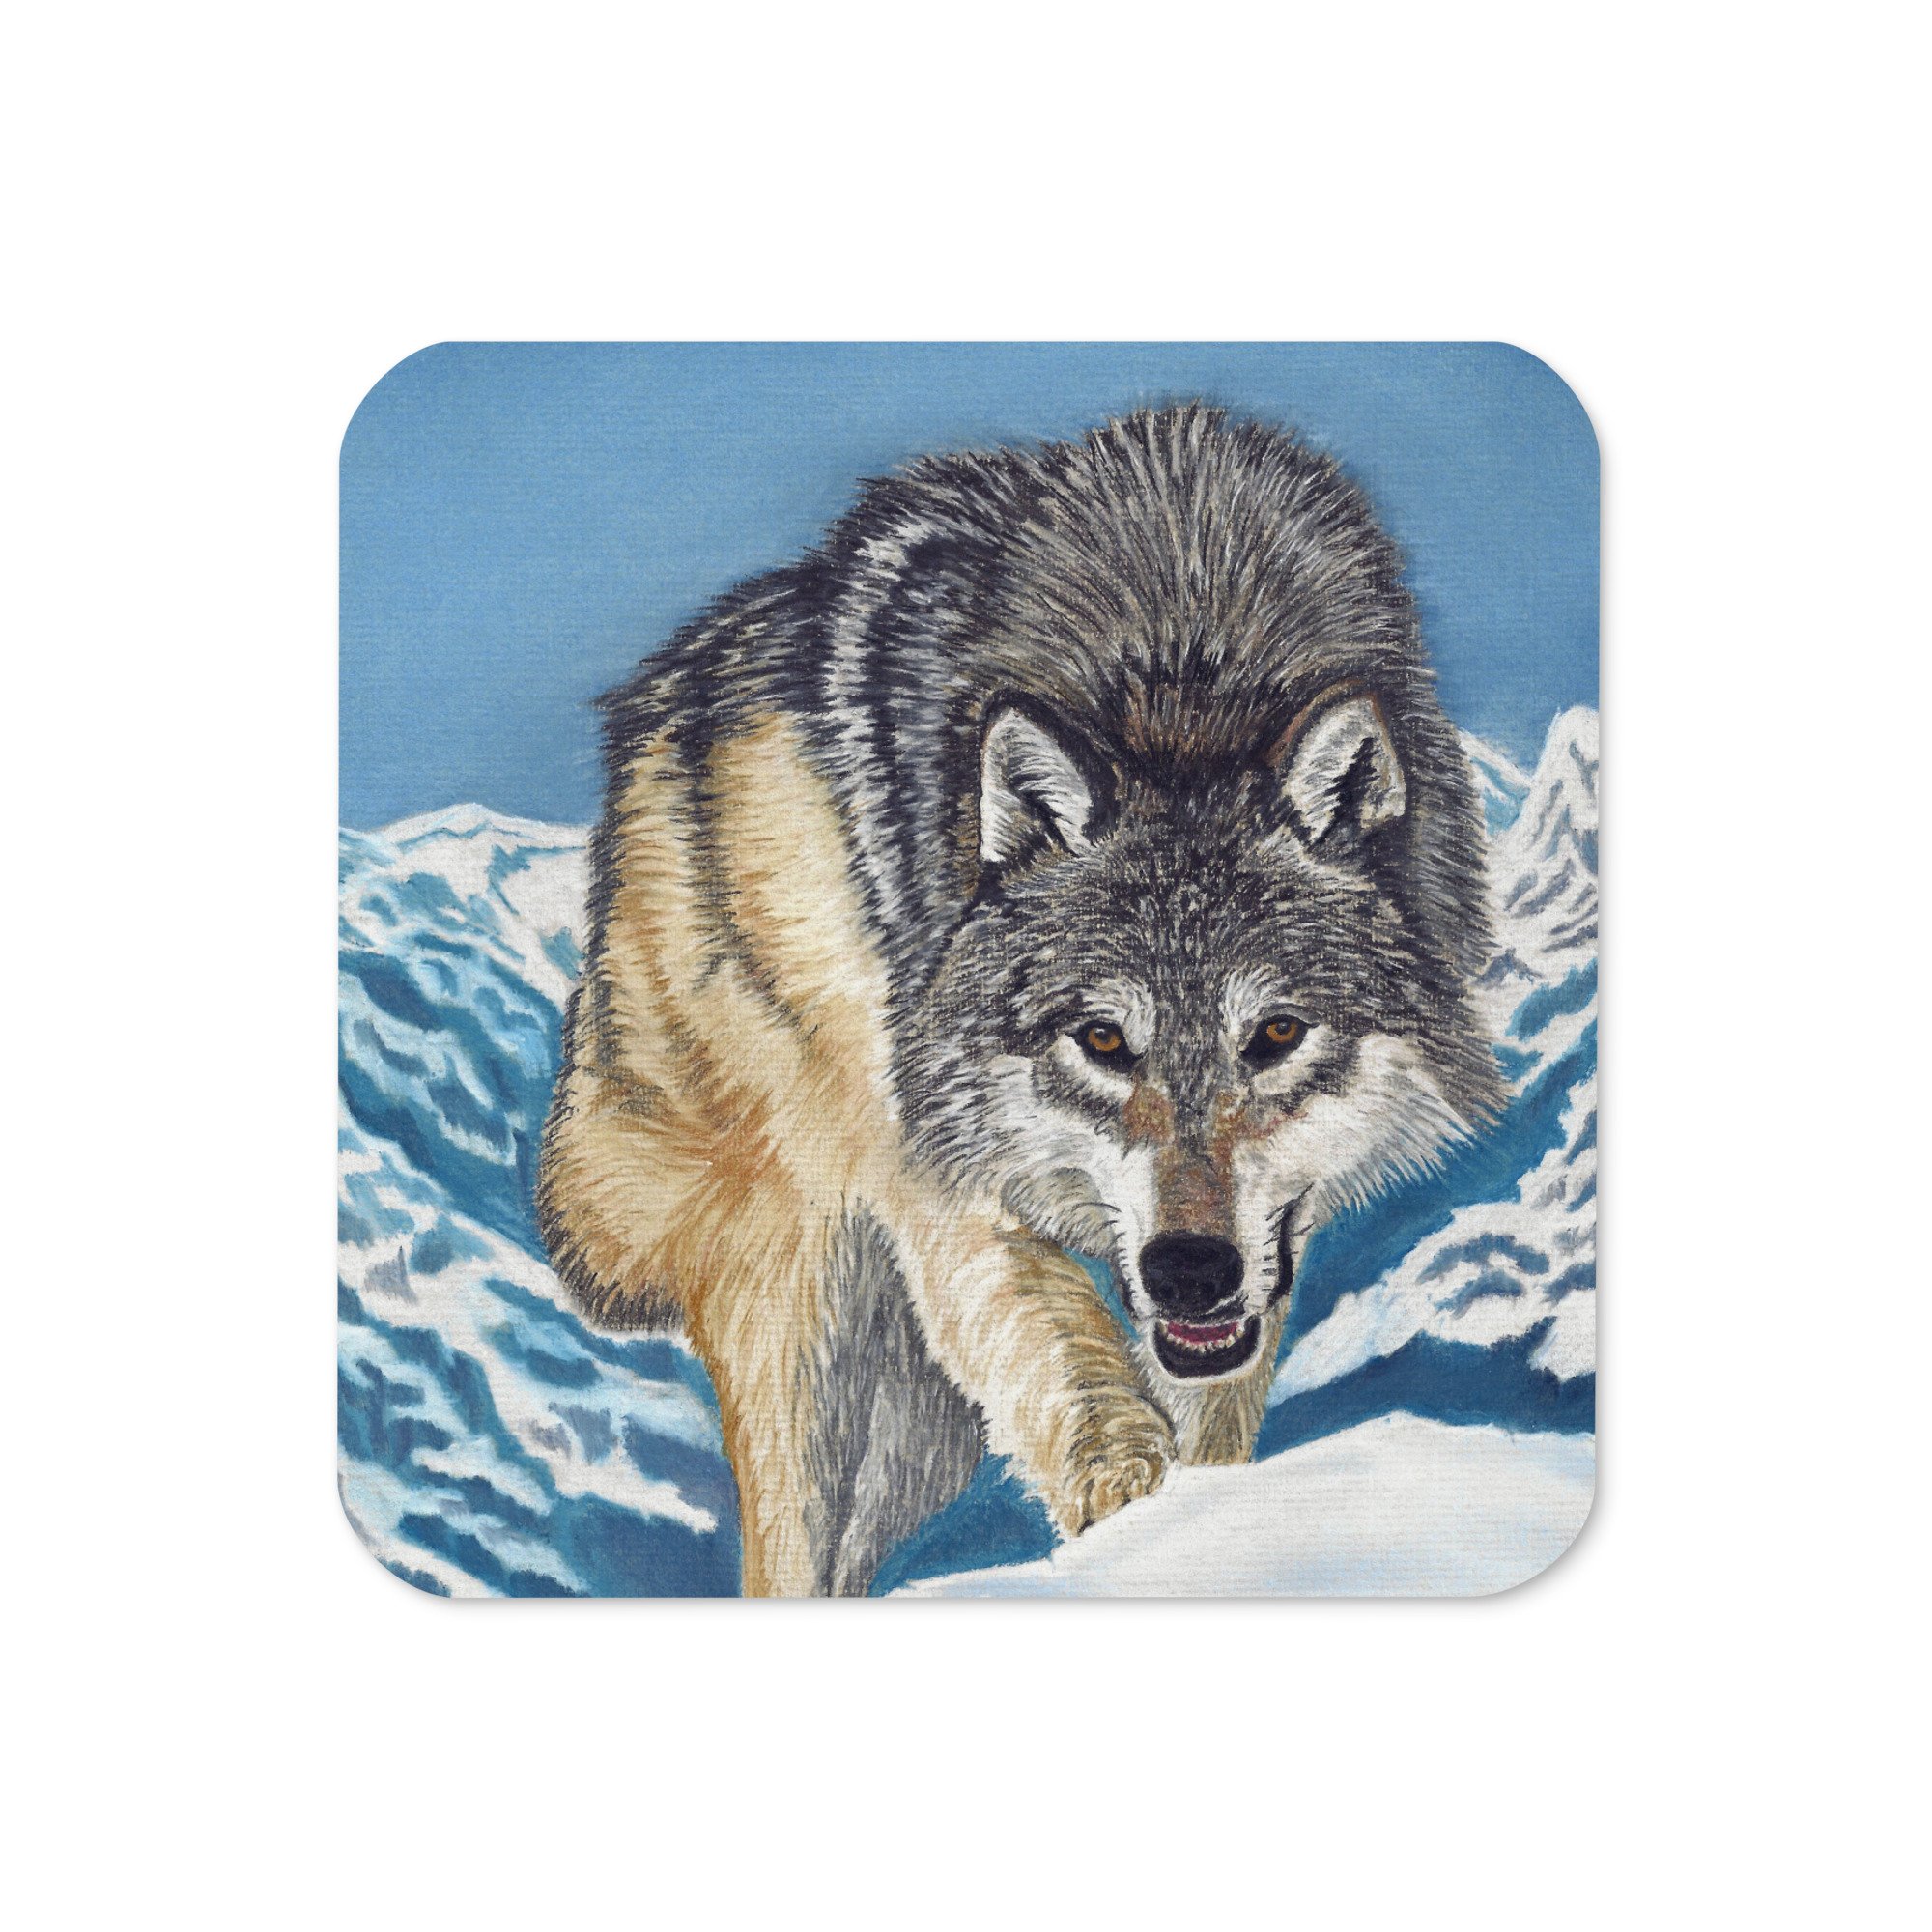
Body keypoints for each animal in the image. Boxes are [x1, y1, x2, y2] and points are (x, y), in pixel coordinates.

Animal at [537, 404, 1502, 1595]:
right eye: (1101, 1039)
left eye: (1275, 1034)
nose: (1188, 1272)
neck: (1178, 679)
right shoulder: (940, 1177)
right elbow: (1083, 1382)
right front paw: (1137, 1524)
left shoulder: (1268, 1252)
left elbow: (1206, 1414)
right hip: (804, 1292)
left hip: (915, 1422)